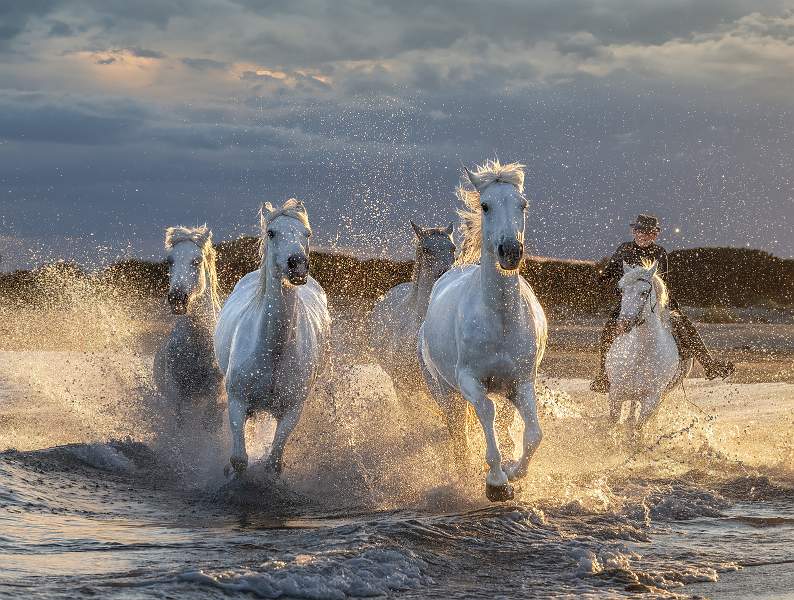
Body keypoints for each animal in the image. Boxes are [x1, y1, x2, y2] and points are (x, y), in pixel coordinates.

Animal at [153, 225, 224, 431]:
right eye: (170, 261)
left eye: (196, 261)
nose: (177, 299)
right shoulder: (177, 393)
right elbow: (181, 425)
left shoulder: (214, 396)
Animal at [214, 199, 331, 477]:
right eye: (271, 232)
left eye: (307, 233)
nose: (297, 264)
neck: (273, 350)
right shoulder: (237, 402)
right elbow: (239, 459)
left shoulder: (291, 412)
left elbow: (273, 463)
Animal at [418, 160, 548, 502]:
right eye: (486, 206)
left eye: (523, 204)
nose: (510, 251)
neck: (499, 320)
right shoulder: (470, 381)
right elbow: (486, 413)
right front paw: (496, 482)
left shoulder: (521, 383)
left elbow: (533, 434)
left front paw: (514, 471)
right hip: (444, 390)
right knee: (458, 430)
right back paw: (463, 469)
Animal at [606, 261, 693, 433]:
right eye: (621, 289)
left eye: (644, 292)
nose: (624, 324)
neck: (639, 355)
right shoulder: (615, 395)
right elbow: (613, 424)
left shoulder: (651, 401)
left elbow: (637, 430)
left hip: (663, 395)